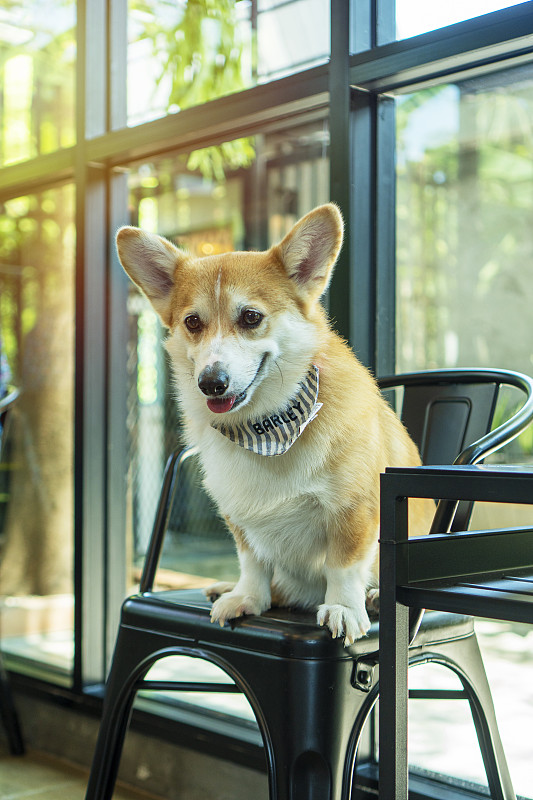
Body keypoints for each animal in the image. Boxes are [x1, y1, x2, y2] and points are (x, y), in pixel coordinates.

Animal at [116, 203, 432, 640]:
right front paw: (249, 597)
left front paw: (343, 607)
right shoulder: (240, 516)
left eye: (251, 317)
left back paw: (371, 597)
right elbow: (253, 561)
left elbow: (343, 565)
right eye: (193, 323)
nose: (211, 383)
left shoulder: (356, 509)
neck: (267, 426)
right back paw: (228, 587)